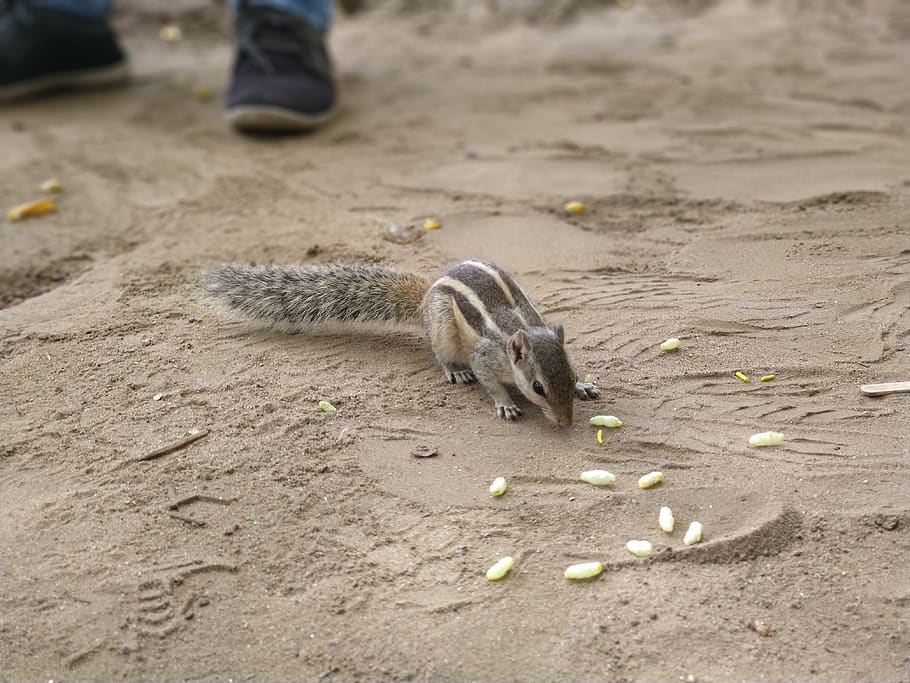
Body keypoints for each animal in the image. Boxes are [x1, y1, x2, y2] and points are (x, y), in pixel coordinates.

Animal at [209, 260, 604, 424]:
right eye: (538, 387)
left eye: (570, 373)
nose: (566, 424)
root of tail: (425, 299)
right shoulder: (486, 356)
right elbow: (489, 380)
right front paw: (505, 404)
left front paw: (584, 386)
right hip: (443, 330)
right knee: (441, 354)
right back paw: (454, 371)